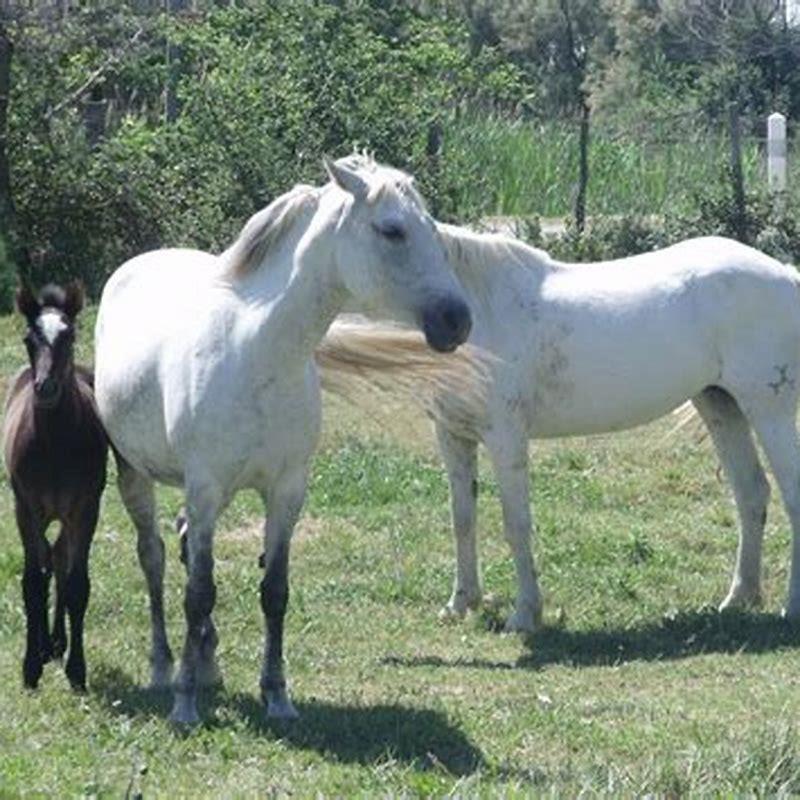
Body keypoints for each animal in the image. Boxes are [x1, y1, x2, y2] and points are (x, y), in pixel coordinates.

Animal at [3, 282, 108, 690]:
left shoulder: (85, 508)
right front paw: (31, 667)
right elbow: (33, 583)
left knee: (60, 559)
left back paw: (58, 643)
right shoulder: (26, 508)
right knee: (49, 561)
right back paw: (46, 646)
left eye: (69, 335)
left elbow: (77, 584)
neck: (55, 444)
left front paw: (76, 670)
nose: (45, 388)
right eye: (29, 339)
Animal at [94, 155, 474, 725]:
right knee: (155, 558)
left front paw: (276, 695)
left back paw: (207, 660)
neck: (257, 353)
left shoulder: (286, 491)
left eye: (432, 230)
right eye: (392, 230)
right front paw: (185, 702)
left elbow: (274, 591)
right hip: (138, 475)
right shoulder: (205, 488)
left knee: (179, 544)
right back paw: (165, 666)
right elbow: (198, 592)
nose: (457, 320)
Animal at [321, 208, 800, 633]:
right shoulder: (453, 435)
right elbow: (462, 518)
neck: (483, 305)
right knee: (751, 493)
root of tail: (785, 274)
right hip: (722, 407)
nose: (449, 325)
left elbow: (516, 523)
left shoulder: (506, 438)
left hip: (769, 412)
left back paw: (790, 609)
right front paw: (461, 604)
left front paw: (524, 616)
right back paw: (738, 598)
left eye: (392, 231)